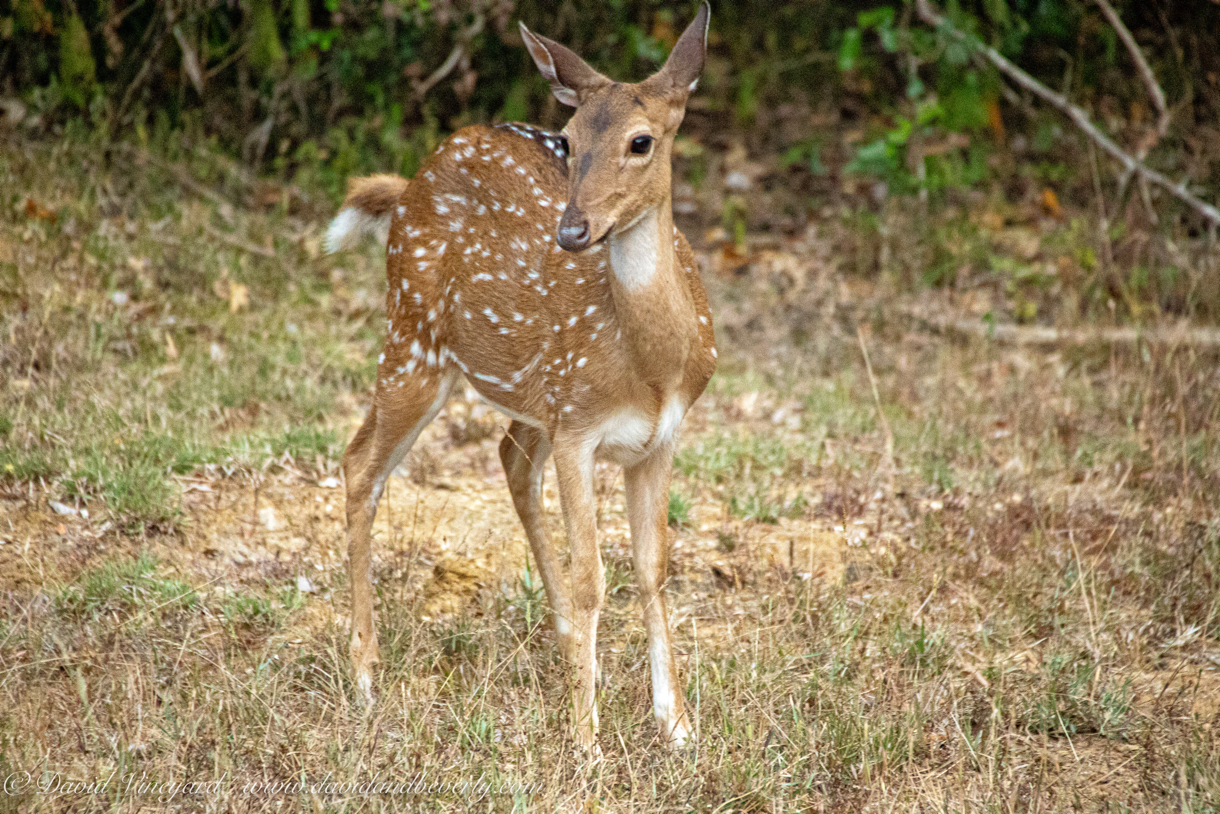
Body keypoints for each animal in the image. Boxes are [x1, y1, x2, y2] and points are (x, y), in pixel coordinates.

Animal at [324, 3, 712, 751]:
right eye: (567, 139)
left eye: (642, 141)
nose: (572, 231)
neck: (650, 366)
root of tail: (409, 185)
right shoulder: (579, 427)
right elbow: (594, 577)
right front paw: (587, 739)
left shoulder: (657, 438)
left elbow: (653, 568)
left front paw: (677, 724)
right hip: (413, 340)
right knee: (361, 465)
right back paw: (363, 677)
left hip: (520, 392)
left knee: (505, 457)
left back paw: (570, 648)